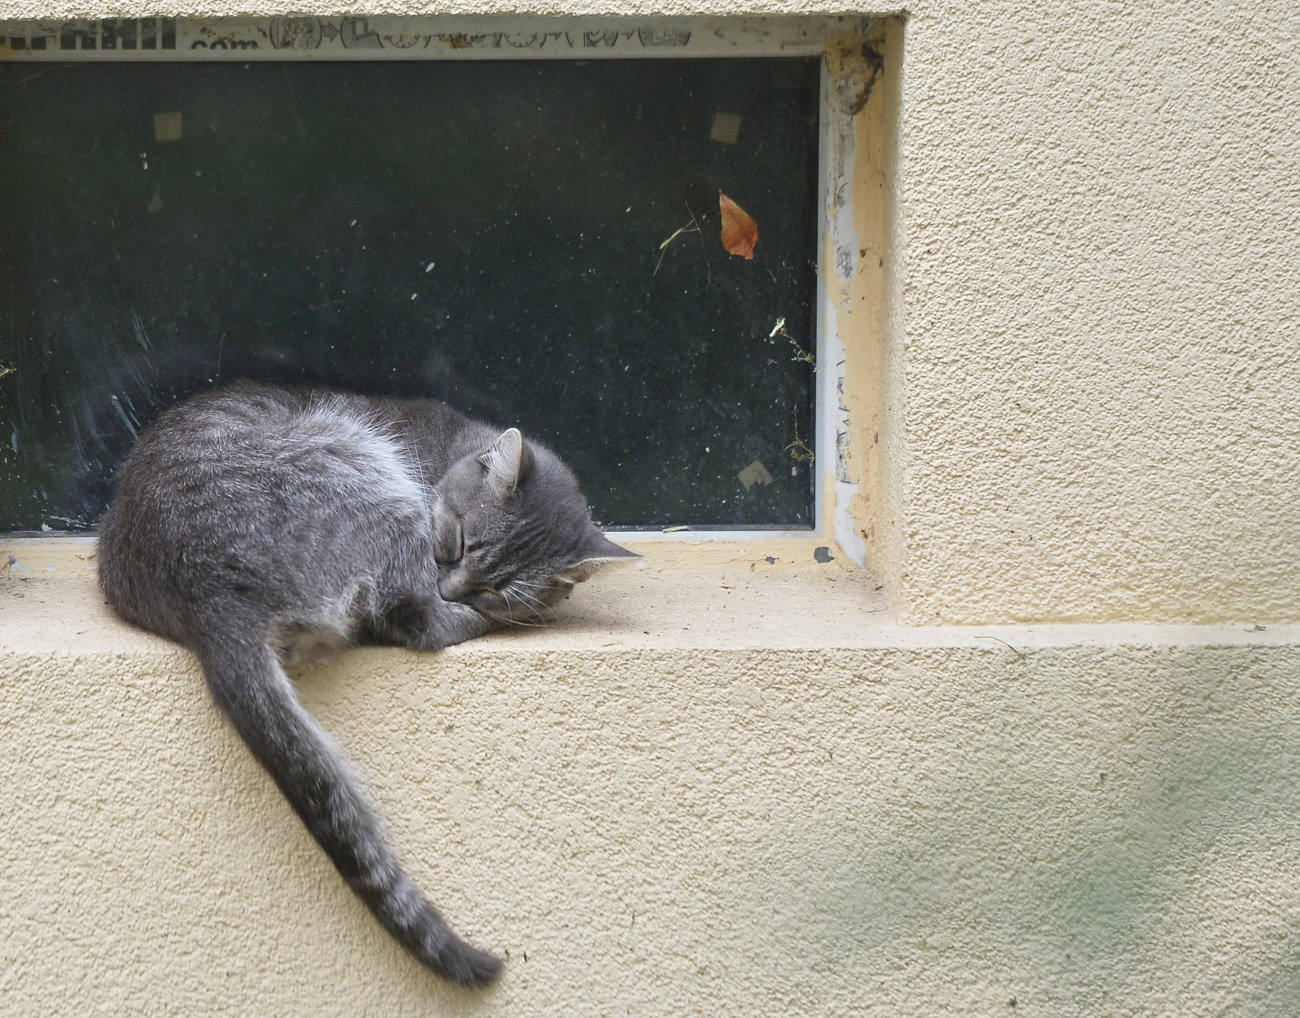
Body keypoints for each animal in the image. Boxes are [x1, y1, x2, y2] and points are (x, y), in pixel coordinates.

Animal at [96, 379, 634, 988]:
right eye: (461, 540)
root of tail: (204, 596)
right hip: (360, 471)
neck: (449, 447)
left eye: (497, 587)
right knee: (418, 621)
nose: (457, 590)